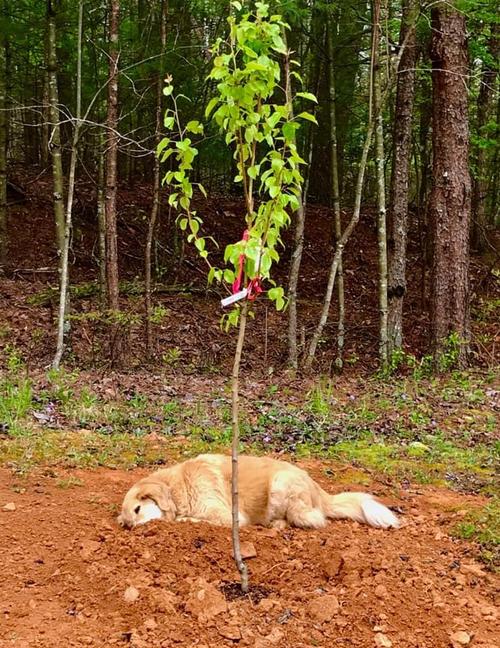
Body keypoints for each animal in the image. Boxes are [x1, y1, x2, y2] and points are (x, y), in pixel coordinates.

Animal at [116, 454, 398, 528]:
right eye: (128, 523)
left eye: (139, 509)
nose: (135, 529)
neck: (178, 487)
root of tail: (318, 489)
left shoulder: (228, 516)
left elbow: (195, 519)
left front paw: (185, 520)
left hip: (280, 486)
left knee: (314, 520)